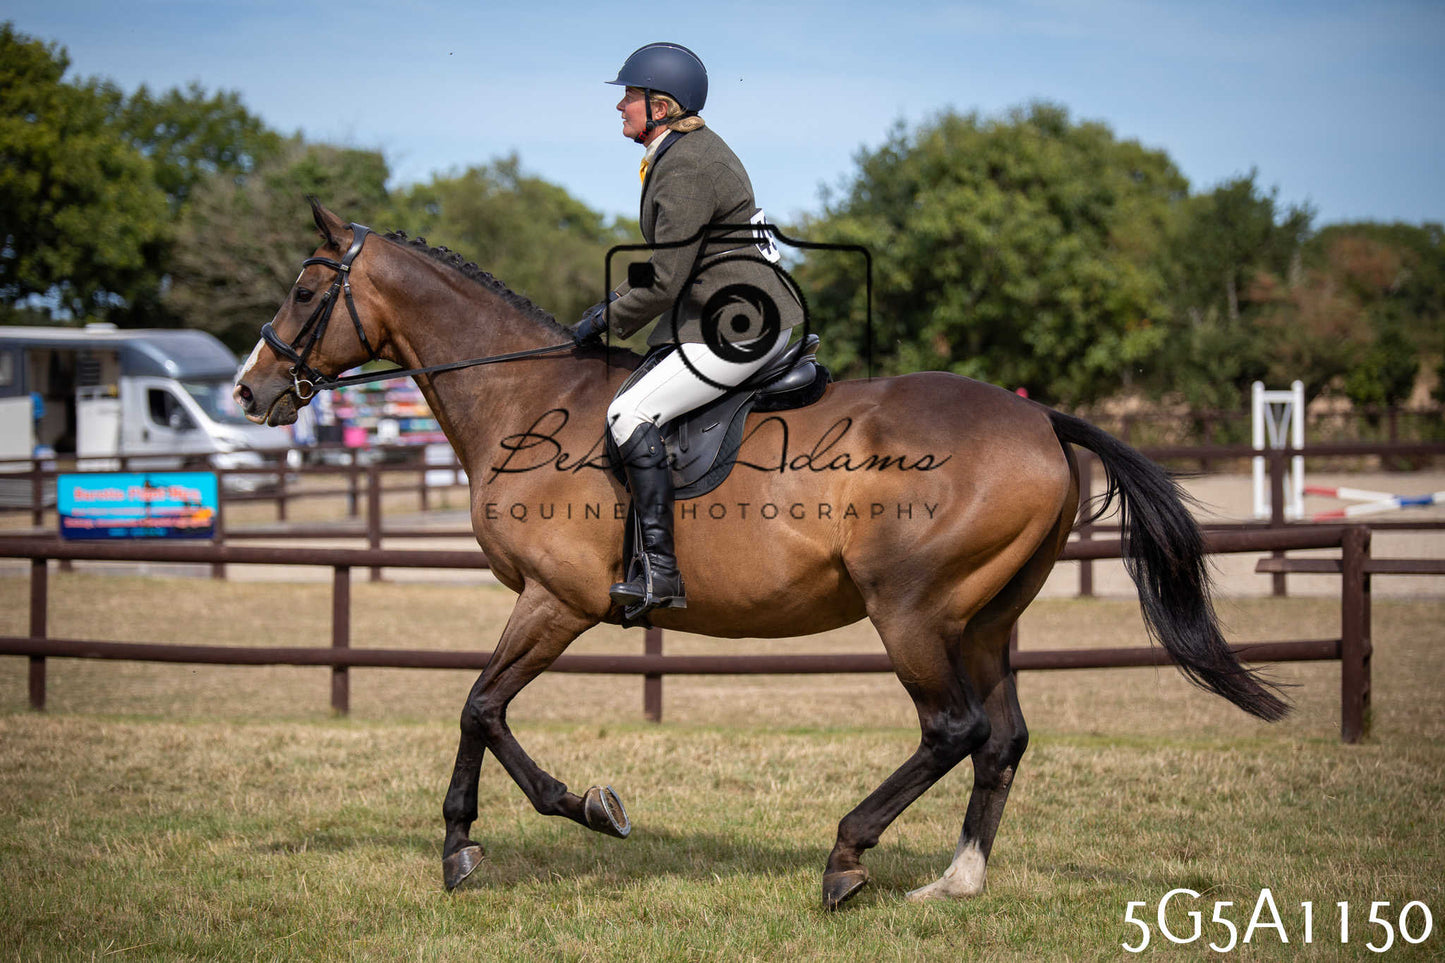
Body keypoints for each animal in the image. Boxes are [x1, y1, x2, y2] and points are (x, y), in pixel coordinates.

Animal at [235, 200, 1288, 910]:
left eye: (303, 289)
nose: (249, 391)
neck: (524, 396)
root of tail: (1039, 419)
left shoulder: (557, 599)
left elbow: (480, 706)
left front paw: (549, 818)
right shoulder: (544, 601)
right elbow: (479, 709)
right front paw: (498, 831)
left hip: (912, 610)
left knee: (951, 728)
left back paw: (846, 857)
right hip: (985, 616)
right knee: (1001, 738)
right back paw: (955, 880)